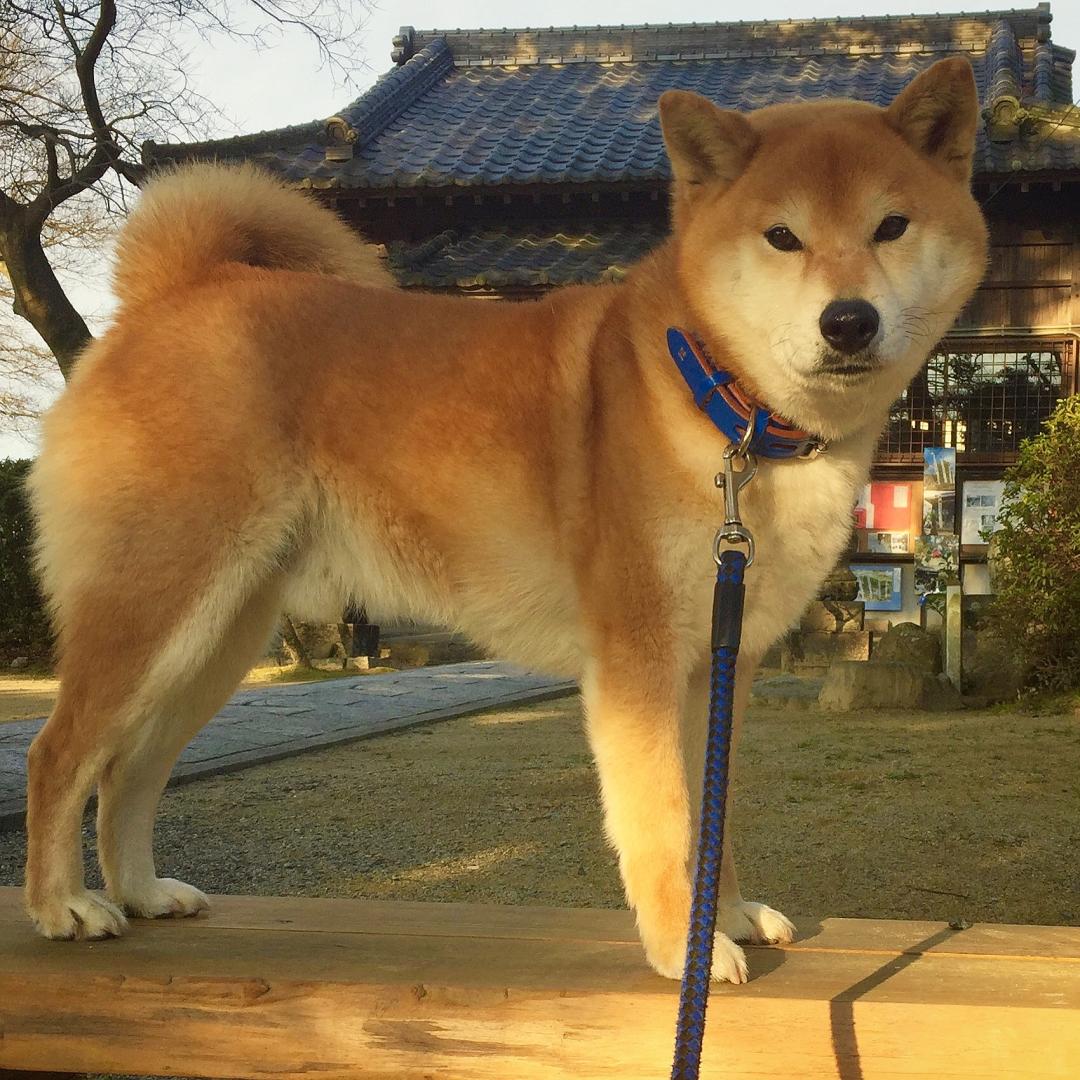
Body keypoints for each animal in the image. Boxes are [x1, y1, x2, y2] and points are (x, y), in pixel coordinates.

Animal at [25, 61, 989, 989]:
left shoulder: (721, 660)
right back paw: (61, 905)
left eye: (891, 226)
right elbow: (666, 822)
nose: (849, 320)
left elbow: (712, 812)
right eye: (781, 237)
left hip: (216, 637)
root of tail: (173, 292)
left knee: (127, 771)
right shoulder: (638, 660)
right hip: (155, 606)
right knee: (59, 752)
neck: (726, 405)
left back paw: (142, 892)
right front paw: (685, 950)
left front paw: (727, 914)